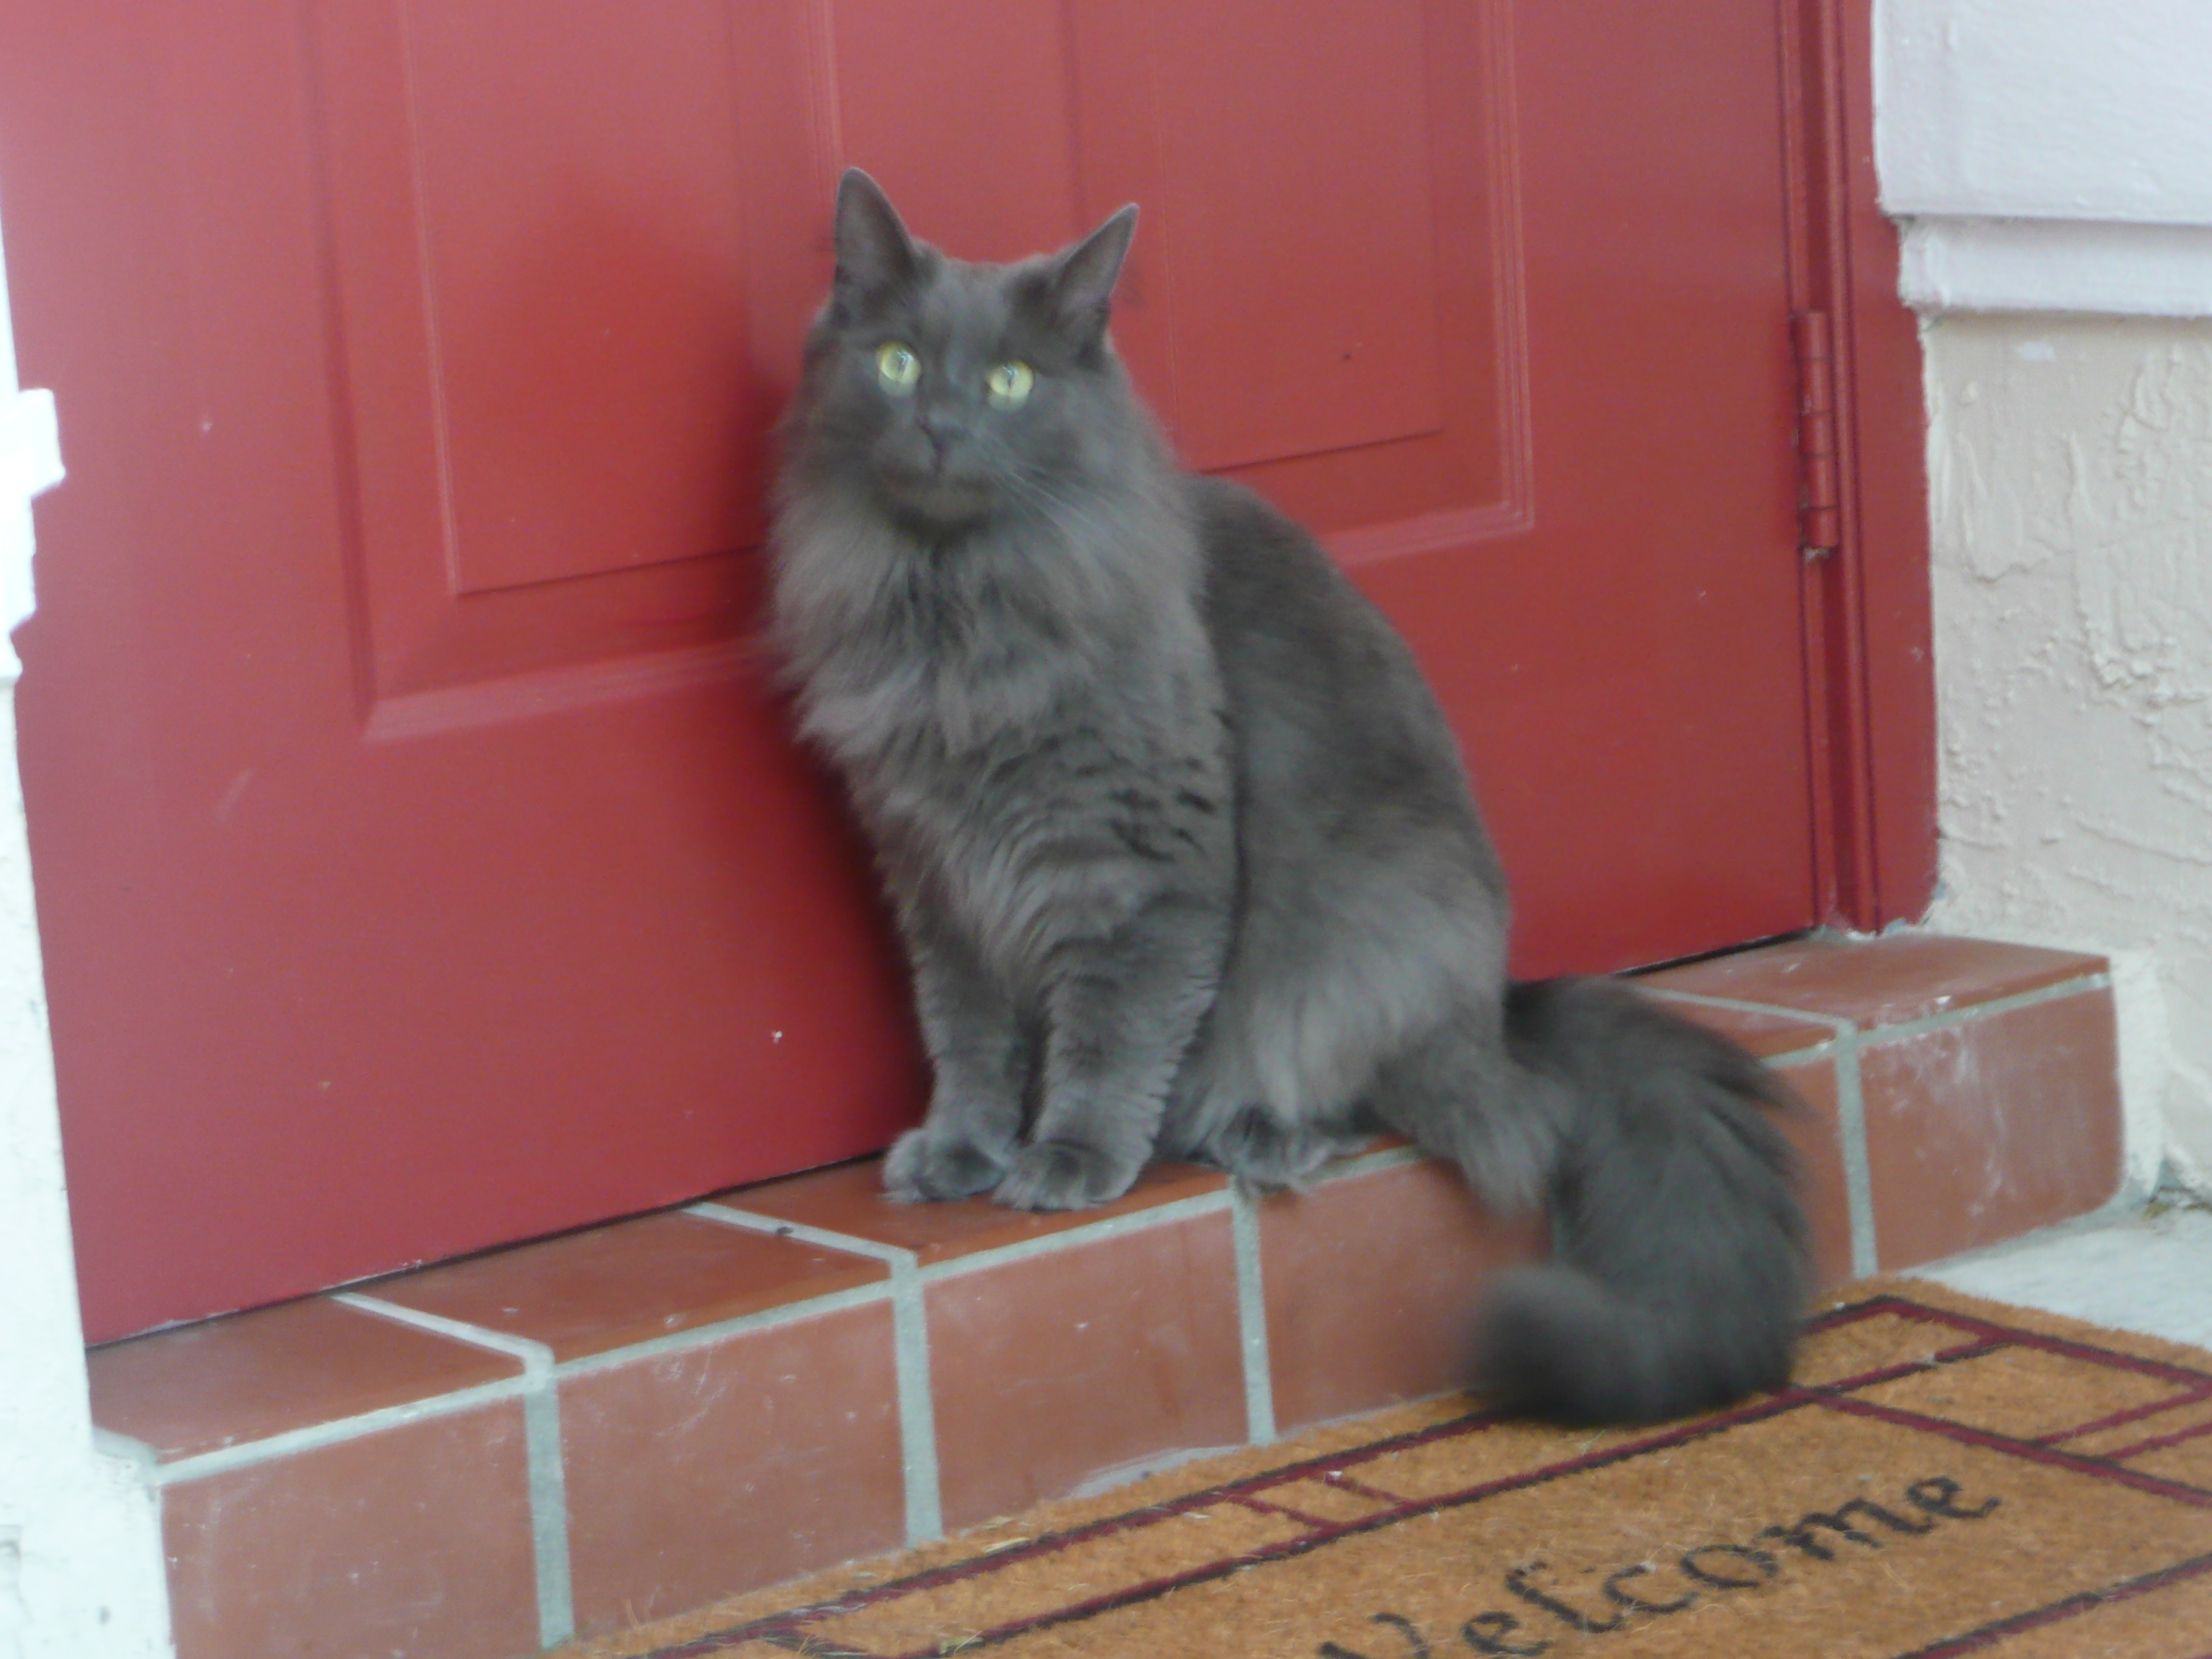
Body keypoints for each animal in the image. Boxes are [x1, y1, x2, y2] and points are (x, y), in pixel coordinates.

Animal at [770, 172, 1804, 1433]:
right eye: (900, 363)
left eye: (1009, 382)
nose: (939, 423)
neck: (956, 610)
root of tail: (1499, 1013)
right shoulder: (939, 880)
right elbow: (967, 1039)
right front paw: (962, 1149)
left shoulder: (1143, 873)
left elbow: (1114, 1033)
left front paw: (1070, 1158)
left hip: (1373, 927)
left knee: (1384, 1091)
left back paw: (1261, 1132)